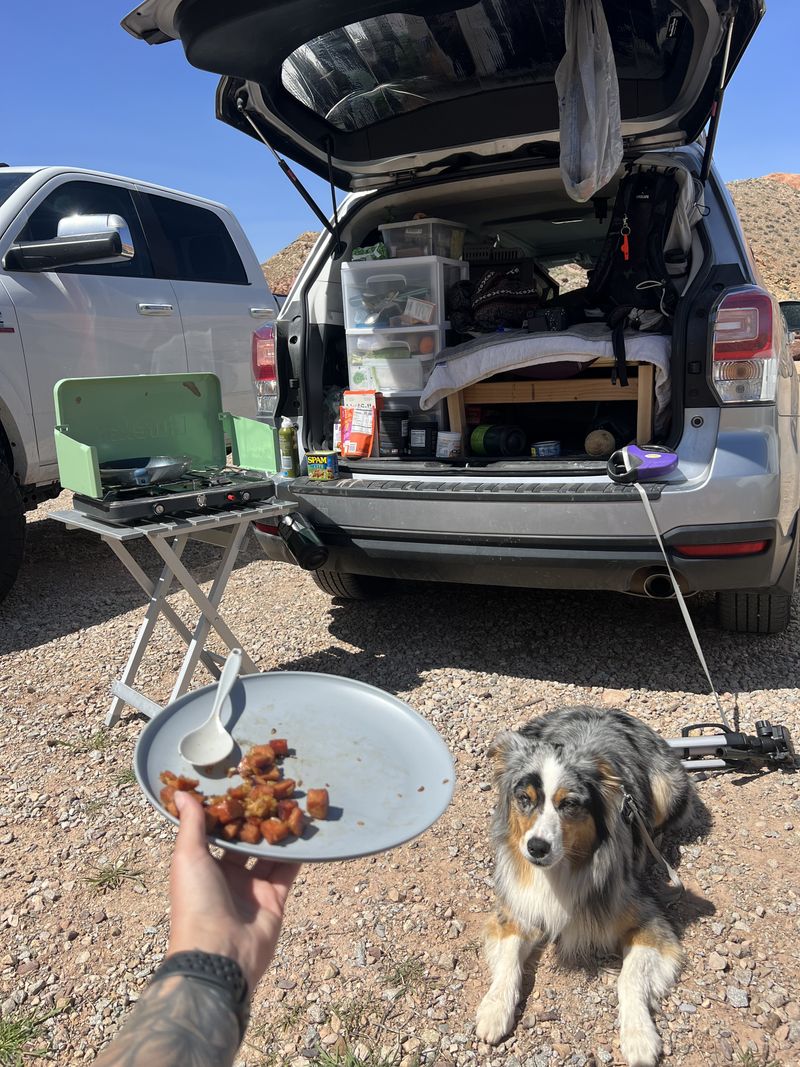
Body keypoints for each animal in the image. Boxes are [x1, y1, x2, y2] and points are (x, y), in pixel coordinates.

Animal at [475, 704, 695, 1062]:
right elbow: (509, 959)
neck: (559, 872)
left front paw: (639, 1036)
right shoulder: (517, 908)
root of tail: (604, 709)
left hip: (666, 788)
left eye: (569, 804)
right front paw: (494, 1009)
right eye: (524, 799)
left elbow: (629, 978)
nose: (536, 847)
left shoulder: (649, 921)